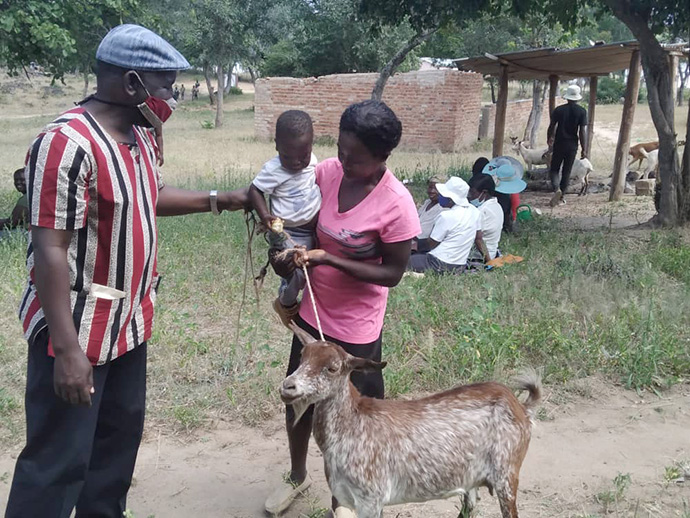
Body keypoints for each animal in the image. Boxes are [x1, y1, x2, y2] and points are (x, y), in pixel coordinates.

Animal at [278, 324, 536, 518]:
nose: (288, 387)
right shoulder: (347, 497)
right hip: (472, 479)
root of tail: (521, 407)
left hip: (506, 474)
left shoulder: (370, 498)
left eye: (332, 368)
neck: (351, 425)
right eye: (301, 357)